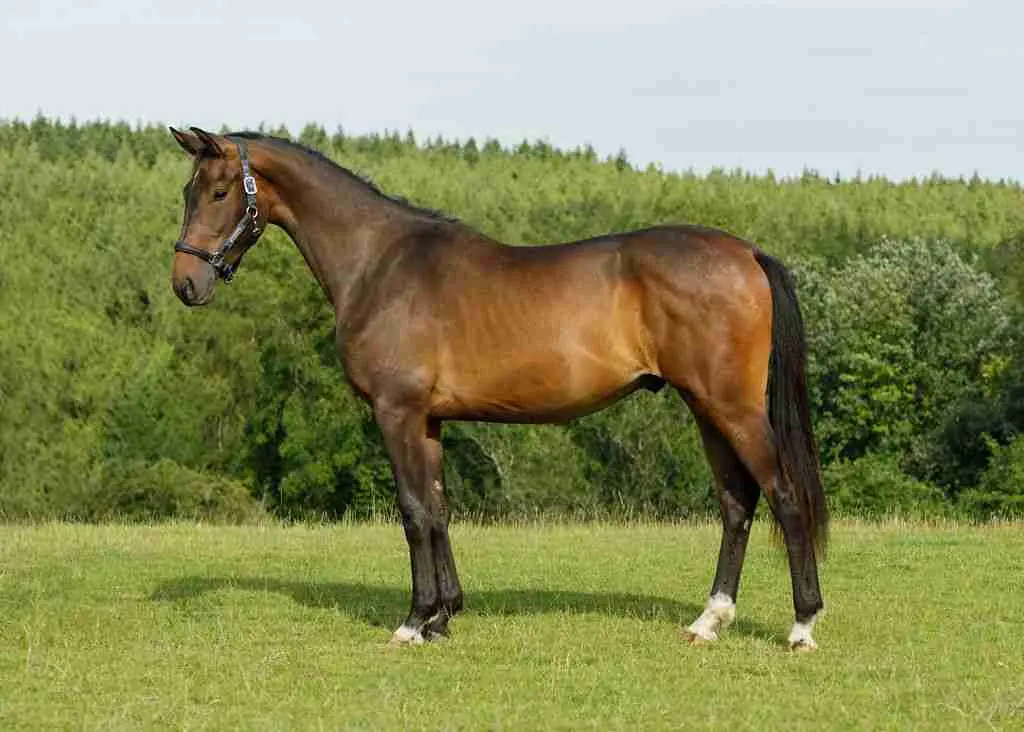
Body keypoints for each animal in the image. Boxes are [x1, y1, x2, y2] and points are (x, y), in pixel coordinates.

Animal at [168, 126, 828, 651]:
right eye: (186, 193)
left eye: (220, 192)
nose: (185, 283)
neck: (381, 263)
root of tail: (747, 251)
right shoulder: (428, 420)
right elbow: (437, 507)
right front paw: (443, 616)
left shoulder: (396, 412)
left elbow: (412, 511)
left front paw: (413, 623)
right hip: (705, 409)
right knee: (737, 504)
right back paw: (709, 620)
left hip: (732, 408)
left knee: (783, 495)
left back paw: (801, 626)